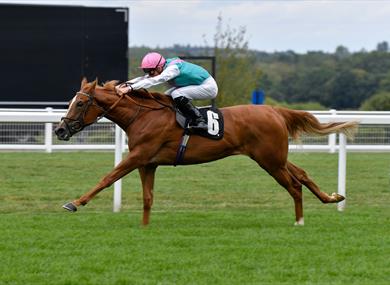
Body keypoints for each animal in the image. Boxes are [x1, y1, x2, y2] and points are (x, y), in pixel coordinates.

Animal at [54, 79, 356, 225]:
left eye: (79, 103)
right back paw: (332, 197)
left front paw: (74, 202)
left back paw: (299, 222)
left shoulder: (138, 156)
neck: (142, 115)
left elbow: (107, 178)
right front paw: (145, 227)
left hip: (270, 161)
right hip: (275, 158)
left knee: (294, 186)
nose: (60, 130)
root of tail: (275, 110)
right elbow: (148, 198)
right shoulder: (148, 163)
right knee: (302, 174)